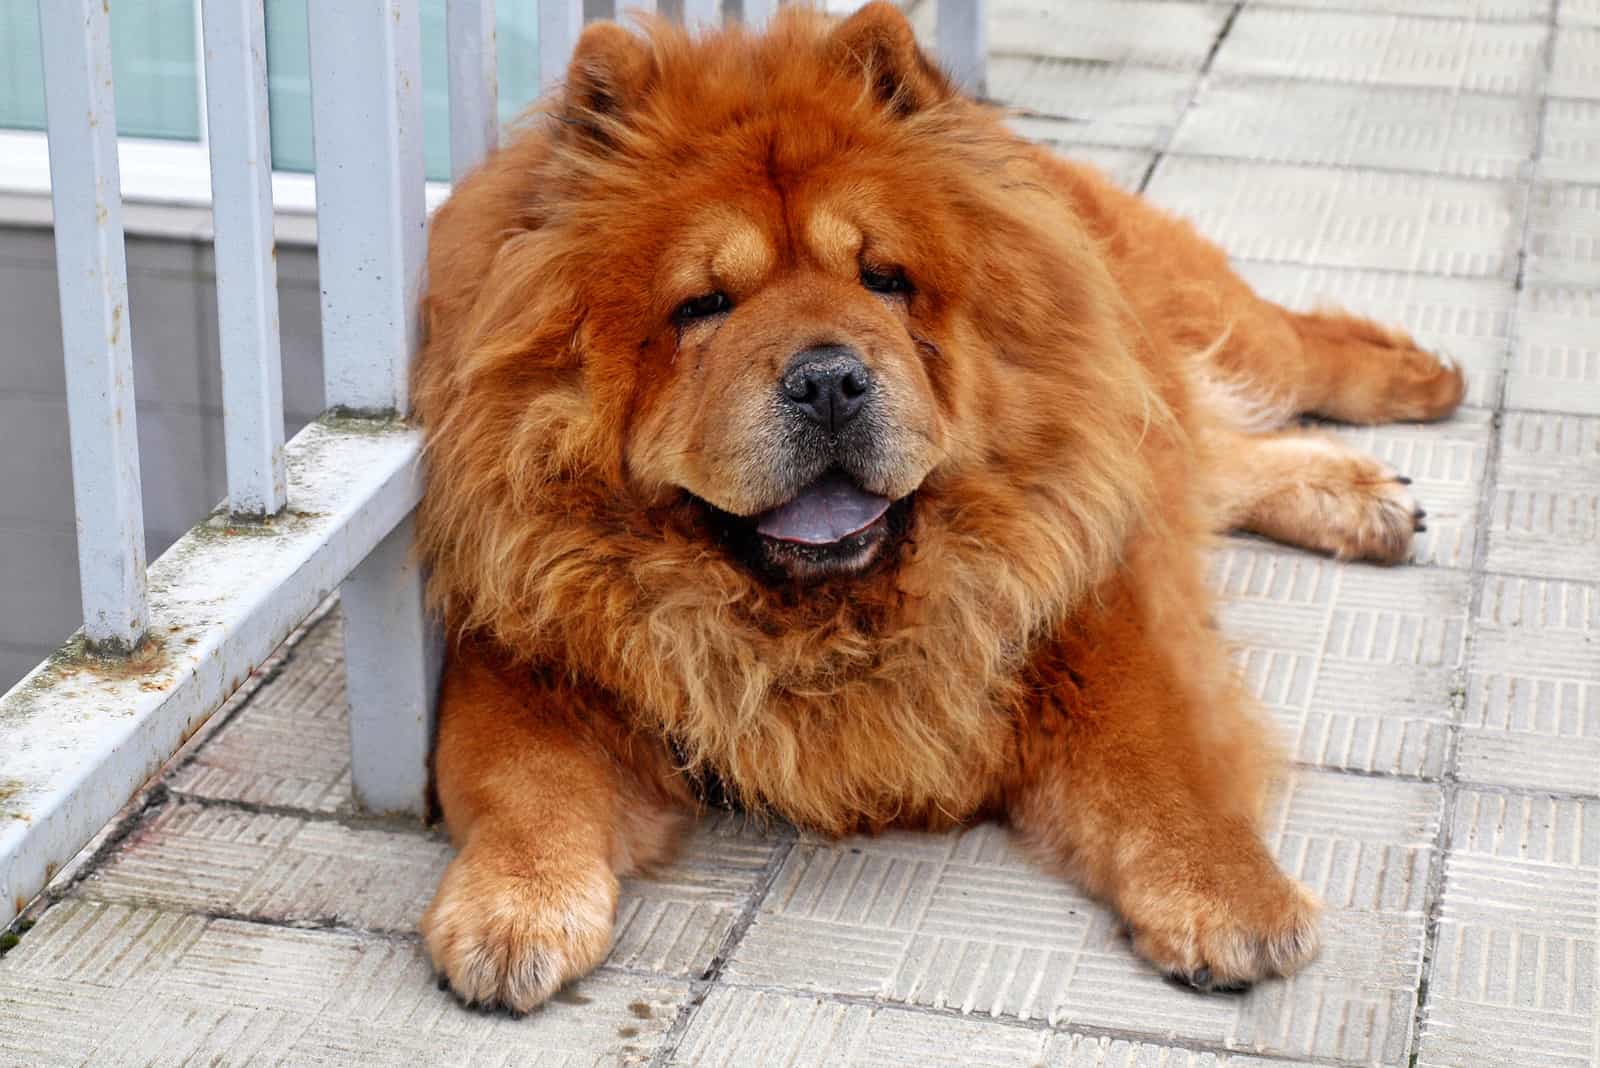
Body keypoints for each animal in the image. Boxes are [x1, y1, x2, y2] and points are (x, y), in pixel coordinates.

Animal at [409, 0, 1465, 1016]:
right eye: (704, 305)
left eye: (885, 280)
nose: (828, 380)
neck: (827, 624)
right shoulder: (523, 645)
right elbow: (526, 778)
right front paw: (515, 912)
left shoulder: (1091, 605)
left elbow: (1164, 755)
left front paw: (1231, 901)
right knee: (1208, 455)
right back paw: (1359, 498)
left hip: (1219, 330)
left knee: (1290, 355)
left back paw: (1424, 382)